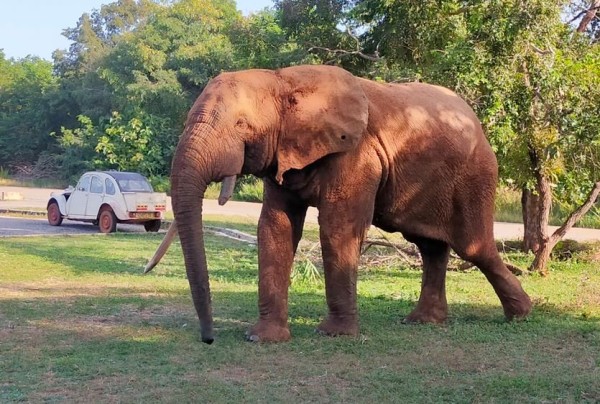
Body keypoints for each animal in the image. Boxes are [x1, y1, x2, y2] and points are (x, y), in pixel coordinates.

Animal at [148, 64, 532, 342]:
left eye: (242, 124)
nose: (209, 339)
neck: (282, 80)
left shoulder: (356, 154)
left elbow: (337, 226)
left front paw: (334, 335)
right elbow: (275, 227)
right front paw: (262, 339)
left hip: (475, 176)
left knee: (472, 247)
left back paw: (521, 316)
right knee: (430, 246)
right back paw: (423, 322)